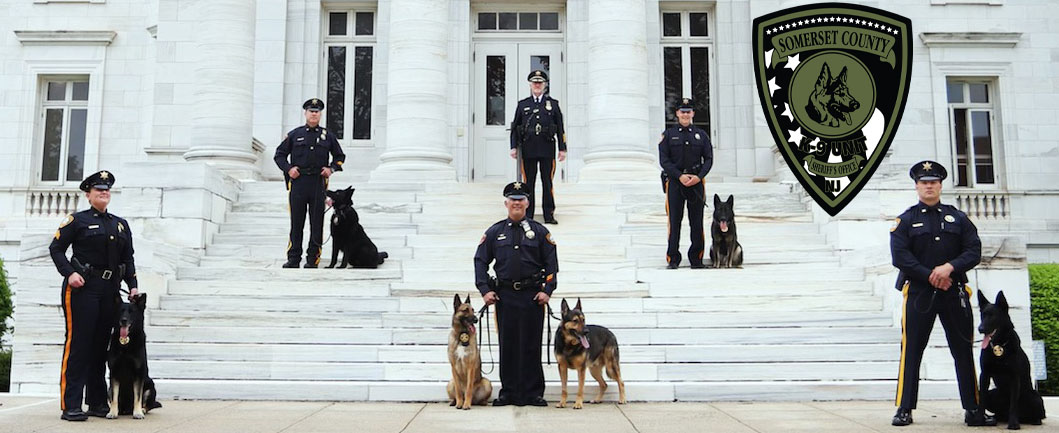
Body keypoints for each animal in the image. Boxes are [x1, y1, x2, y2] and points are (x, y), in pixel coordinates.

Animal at [978, 287, 1046, 427]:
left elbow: (1013, 404)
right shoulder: (984, 374)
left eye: (993, 316)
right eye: (983, 315)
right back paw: (997, 418)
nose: (980, 329)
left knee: (1038, 415)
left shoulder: (1014, 376)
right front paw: (979, 420)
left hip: (1036, 398)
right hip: (993, 395)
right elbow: (982, 399)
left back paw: (1033, 420)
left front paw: (1013, 423)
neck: (999, 345)